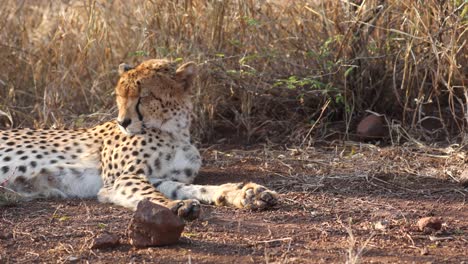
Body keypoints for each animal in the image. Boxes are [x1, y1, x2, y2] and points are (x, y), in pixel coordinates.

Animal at [0, 58, 278, 220]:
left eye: (144, 97)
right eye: (119, 95)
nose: (123, 122)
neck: (173, 131)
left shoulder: (158, 176)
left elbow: (191, 187)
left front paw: (242, 193)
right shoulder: (120, 178)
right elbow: (147, 192)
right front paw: (173, 205)